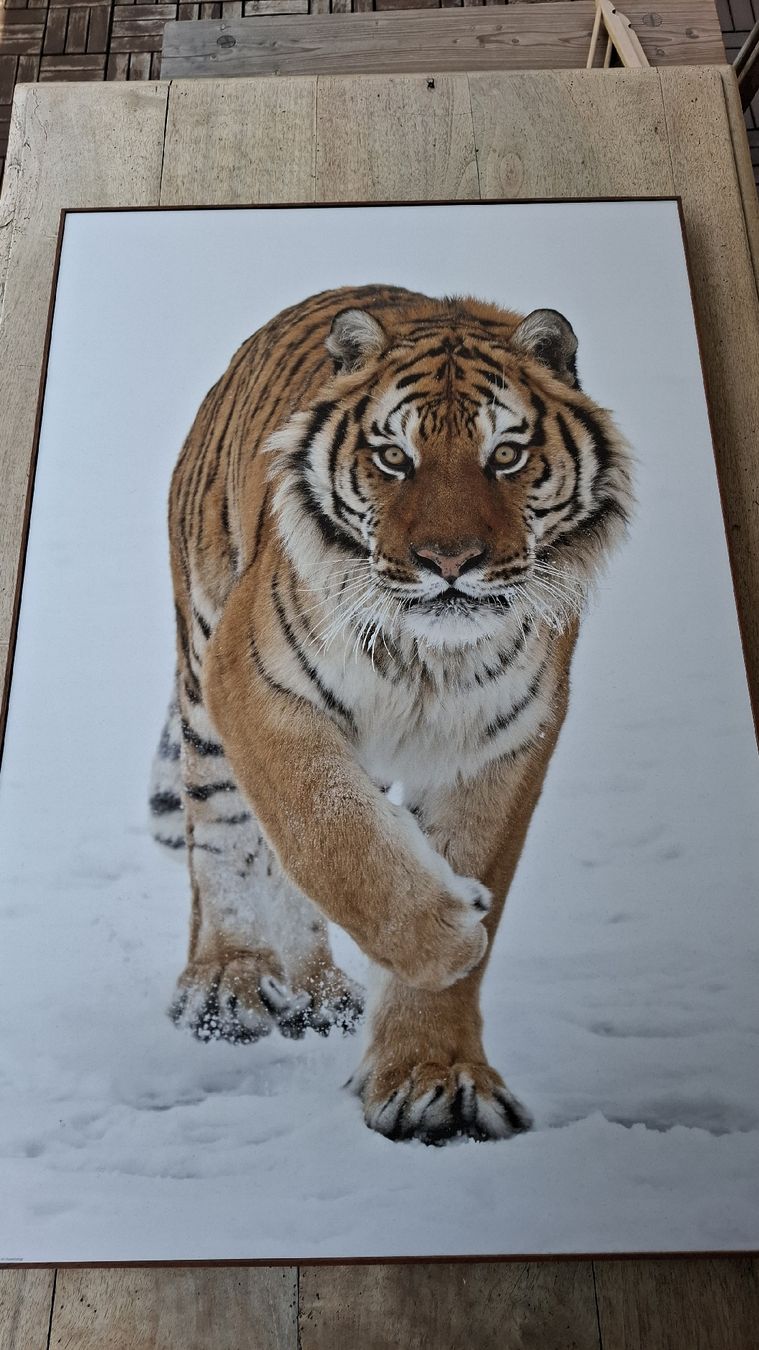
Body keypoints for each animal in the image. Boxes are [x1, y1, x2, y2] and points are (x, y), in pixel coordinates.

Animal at [149, 283, 633, 1144]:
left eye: (504, 455)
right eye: (393, 458)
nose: (448, 561)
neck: (429, 658)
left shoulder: (502, 742)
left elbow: (431, 858)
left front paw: (435, 1080)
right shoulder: (258, 688)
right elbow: (329, 836)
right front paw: (450, 936)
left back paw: (318, 993)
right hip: (203, 675)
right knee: (225, 842)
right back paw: (226, 986)